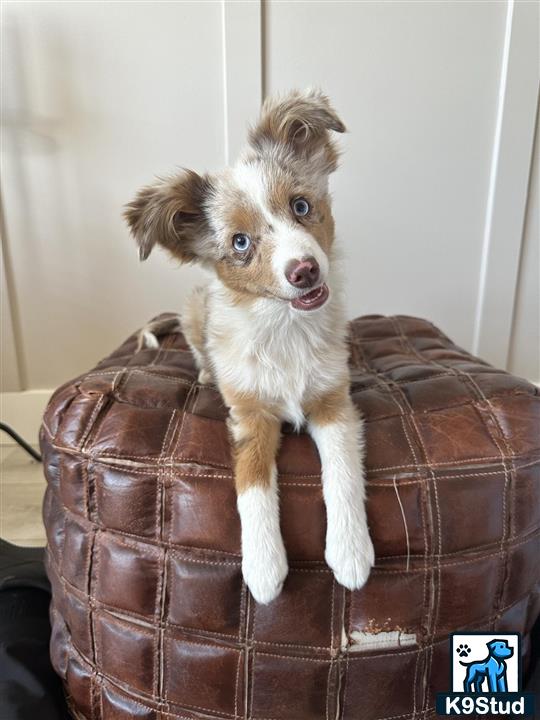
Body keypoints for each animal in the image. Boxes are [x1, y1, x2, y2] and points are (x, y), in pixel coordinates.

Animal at [124, 93, 374, 604]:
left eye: (302, 205)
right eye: (240, 242)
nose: (305, 271)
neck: (285, 327)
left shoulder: (334, 402)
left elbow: (342, 470)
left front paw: (351, 552)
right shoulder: (249, 415)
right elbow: (252, 483)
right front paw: (263, 567)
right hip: (194, 308)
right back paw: (204, 373)